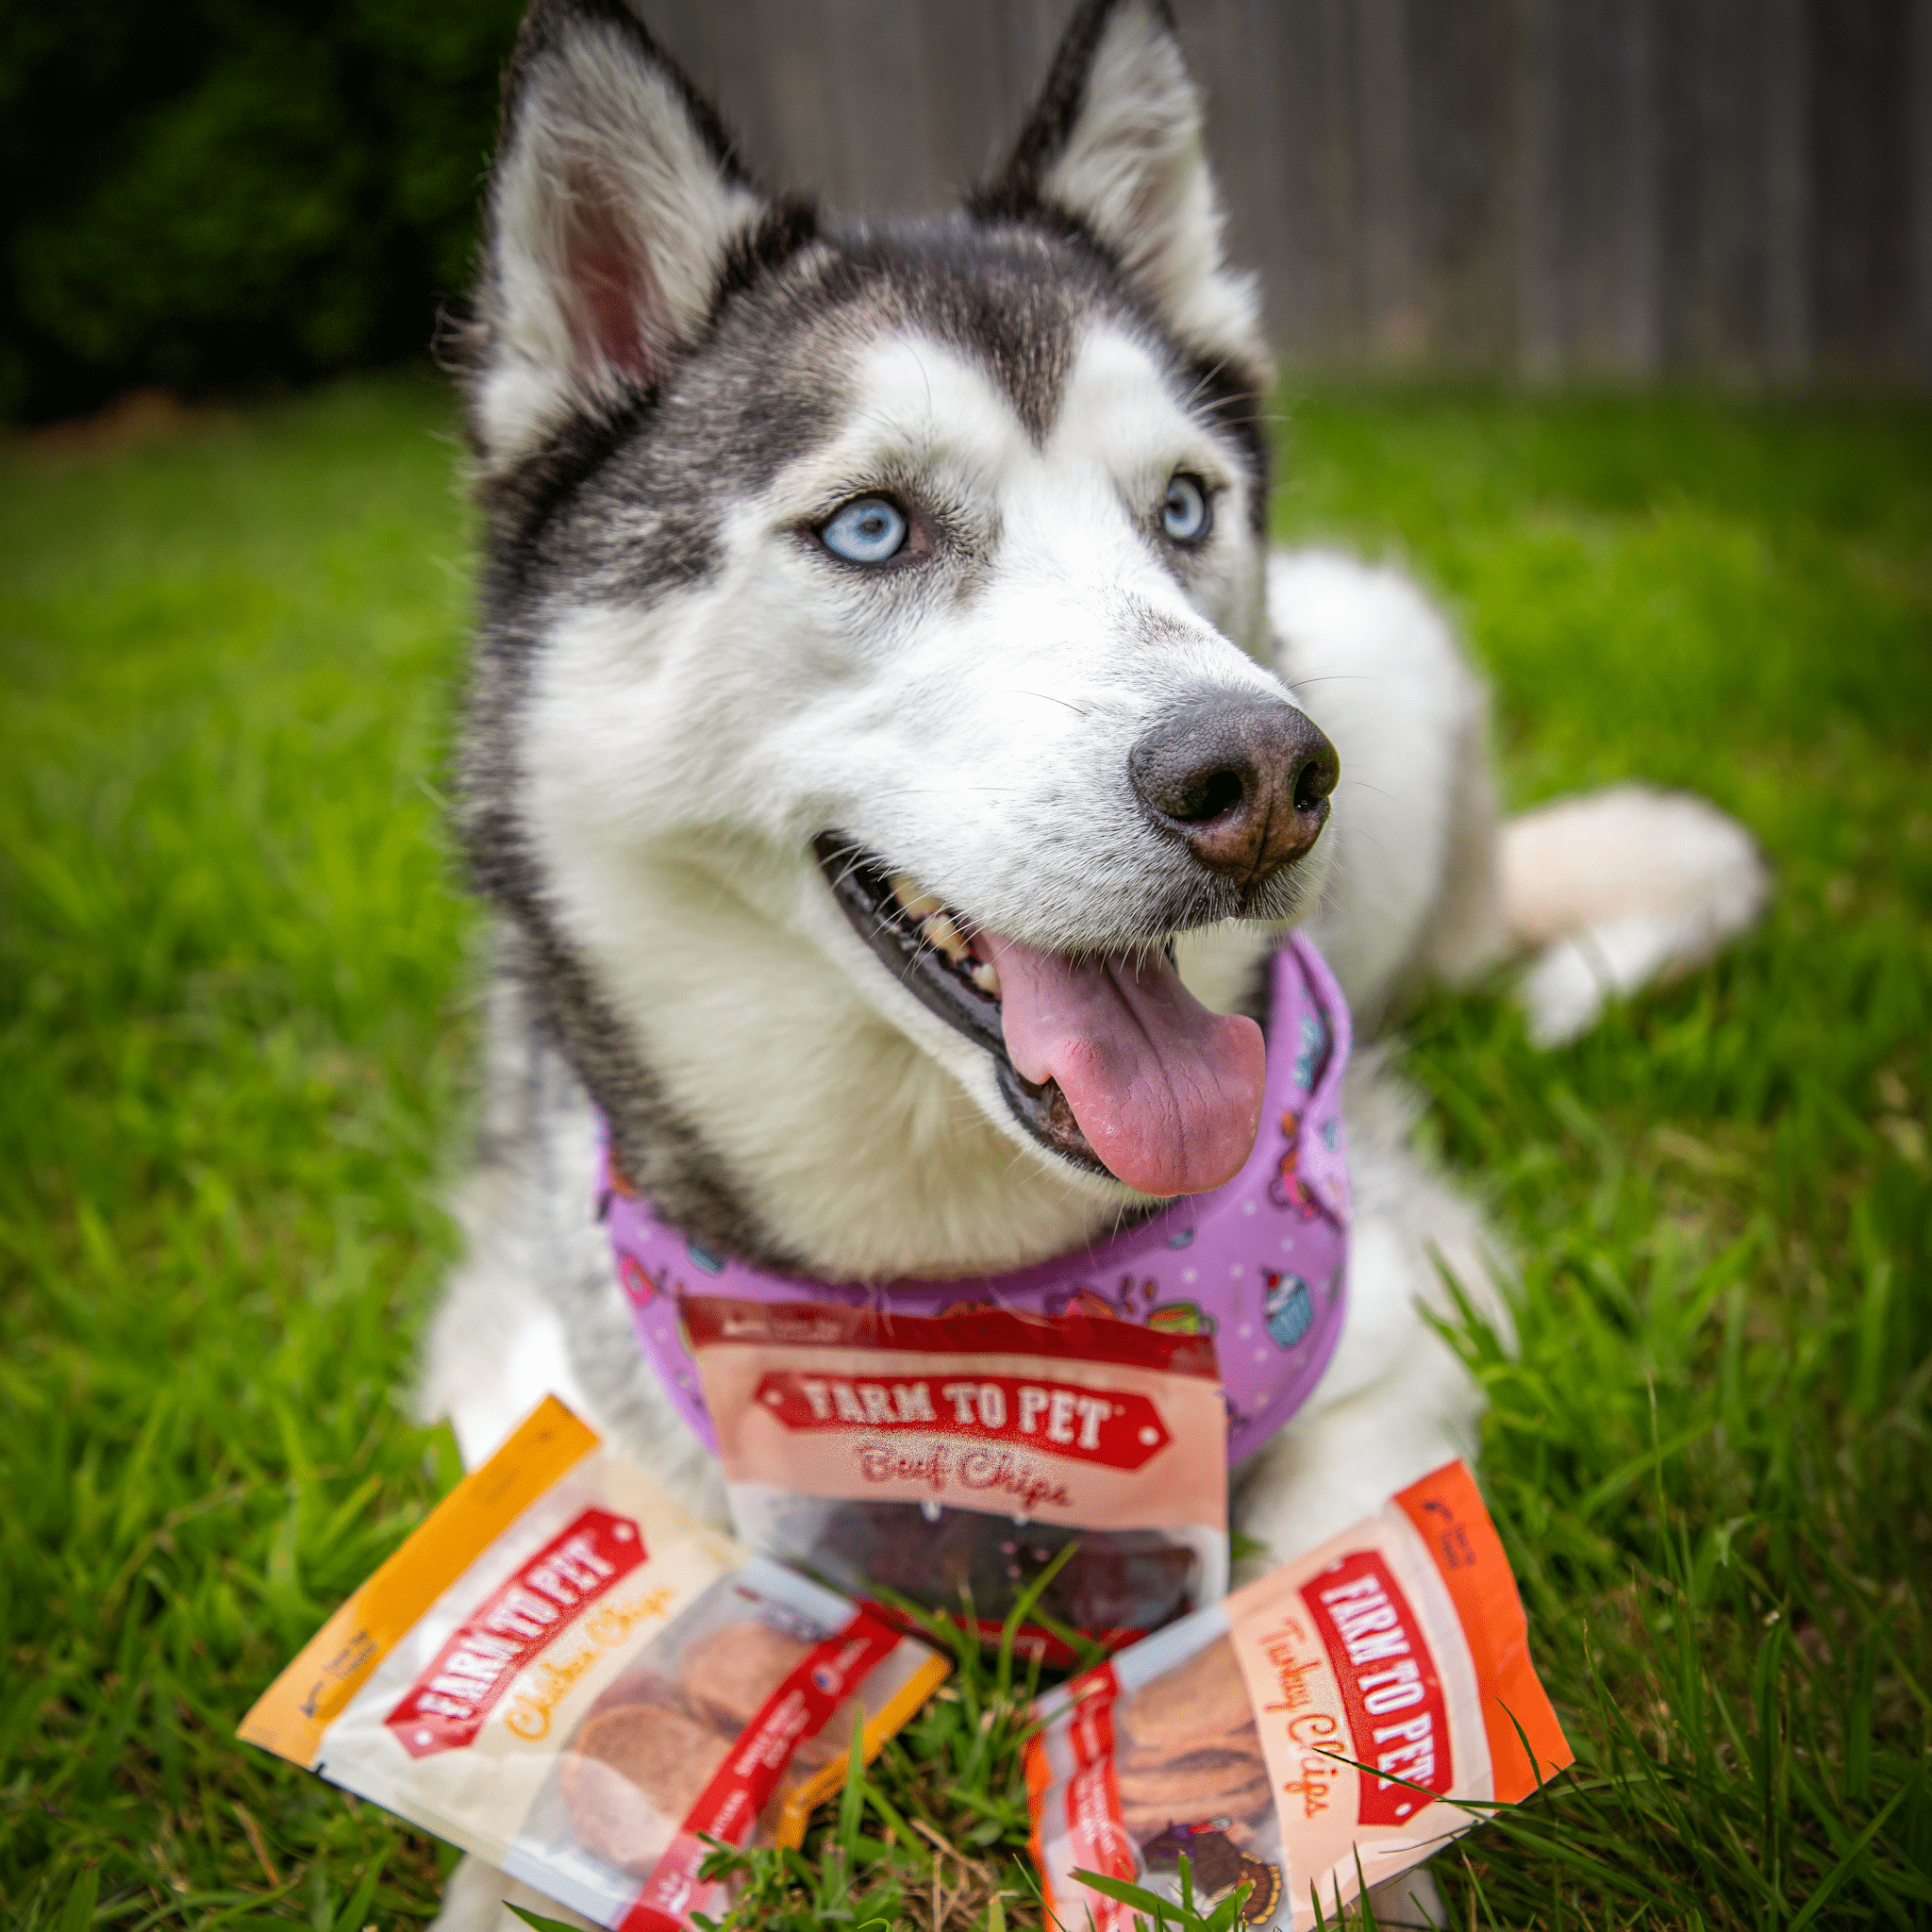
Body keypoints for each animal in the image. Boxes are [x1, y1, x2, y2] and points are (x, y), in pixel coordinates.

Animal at [423, 4, 1769, 1916]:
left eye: (1184, 507)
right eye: (872, 528)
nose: (1262, 777)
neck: (960, 1280)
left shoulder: (1403, 1321)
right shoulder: (531, 1352)